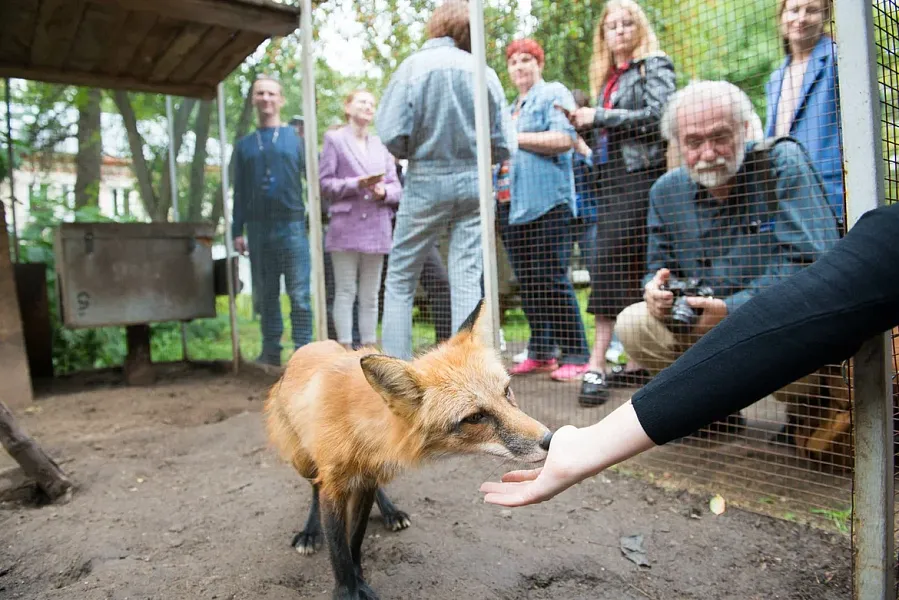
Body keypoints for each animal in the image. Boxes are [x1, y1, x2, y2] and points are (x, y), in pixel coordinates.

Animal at [264, 302, 552, 600]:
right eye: (475, 417)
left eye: (507, 392)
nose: (550, 439)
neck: (360, 427)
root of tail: (312, 345)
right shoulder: (333, 484)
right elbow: (339, 549)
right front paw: (347, 590)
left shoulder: (366, 477)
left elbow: (355, 540)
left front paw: (359, 578)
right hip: (302, 459)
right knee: (313, 488)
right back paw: (310, 531)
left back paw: (390, 512)